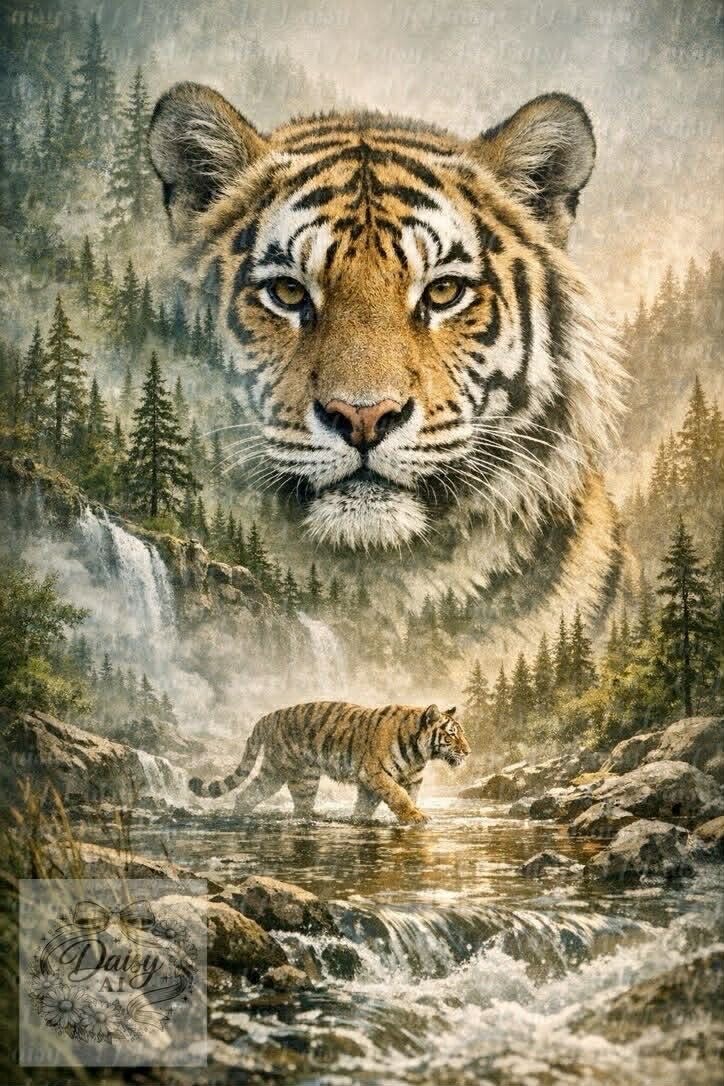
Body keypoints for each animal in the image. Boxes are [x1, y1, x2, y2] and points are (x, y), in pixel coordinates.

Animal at [188, 701, 469, 824]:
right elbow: (398, 795)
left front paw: (360, 819)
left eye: (461, 732)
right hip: (284, 770)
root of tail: (268, 716)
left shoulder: (408, 780)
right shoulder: (375, 773)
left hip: (291, 776)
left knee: (251, 795)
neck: (418, 753)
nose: (468, 752)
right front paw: (414, 816)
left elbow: (369, 805)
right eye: (452, 734)